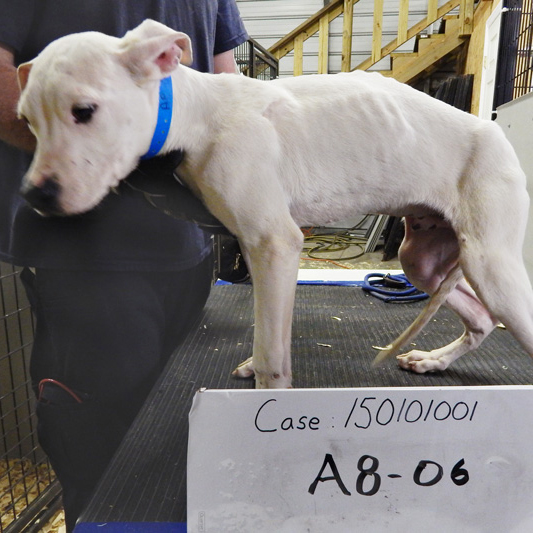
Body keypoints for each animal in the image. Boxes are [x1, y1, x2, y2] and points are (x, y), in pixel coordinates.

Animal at [16, 19, 532, 386]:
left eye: (84, 111)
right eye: (26, 121)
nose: (34, 195)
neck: (198, 115)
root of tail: (491, 129)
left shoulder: (275, 243)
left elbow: (273, 361)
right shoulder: (259, 249)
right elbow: (270, 337)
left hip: (490, 264)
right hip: (422, 258)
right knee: (480, 318)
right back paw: (433, 360)